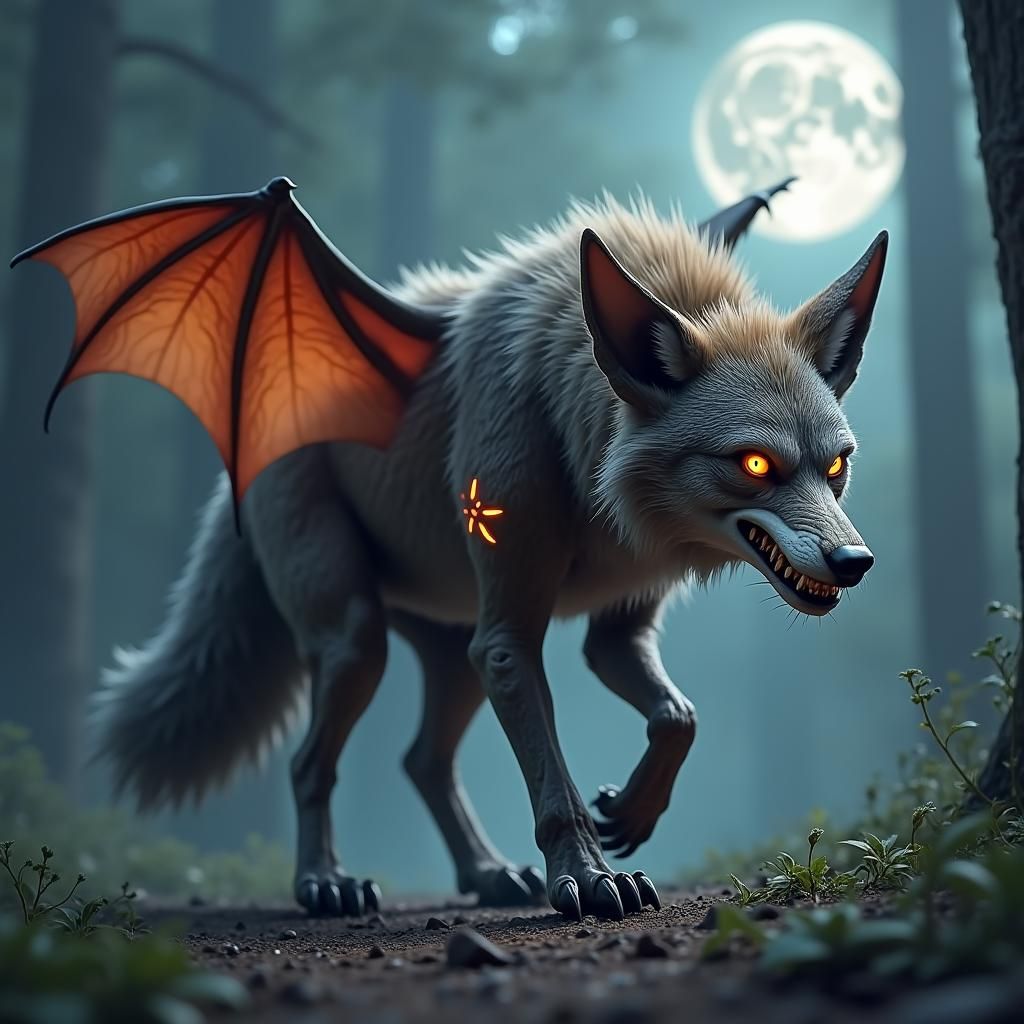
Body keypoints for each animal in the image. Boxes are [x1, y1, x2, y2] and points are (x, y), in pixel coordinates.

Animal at [88, 185, 885, 922]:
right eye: (755, 464)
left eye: (837, 464)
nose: (855, 563)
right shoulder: (509, 642)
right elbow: (556, 786)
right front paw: (590, 878)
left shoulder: (616, 629)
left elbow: (678, 718)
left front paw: (629, 811)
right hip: (360, 642)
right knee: (310, 763)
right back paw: (326, 883)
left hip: (454, 655)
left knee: (422, 761)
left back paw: (487, 875)